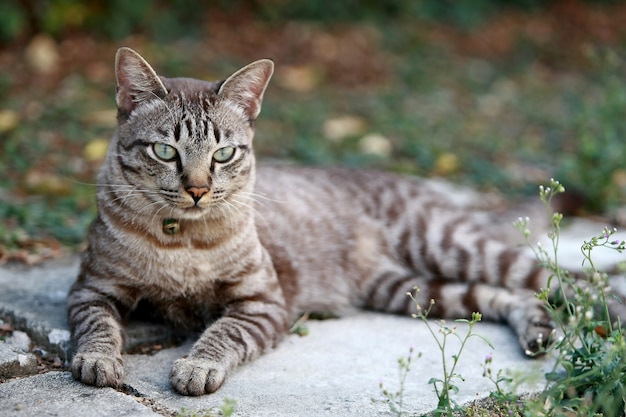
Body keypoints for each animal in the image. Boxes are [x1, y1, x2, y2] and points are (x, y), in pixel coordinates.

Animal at [68, 47, 556, 394]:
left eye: (223, 154)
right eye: (165, 151)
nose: (198, 189)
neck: (180, 242)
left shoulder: (263, 302)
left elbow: (222, 333)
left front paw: (197, 365)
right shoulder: (91, 289)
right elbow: (97, 327)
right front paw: (98, 360)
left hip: (447, 244)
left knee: (553, 279)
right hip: (411, 290)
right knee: (501, 297)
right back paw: (538, 332)